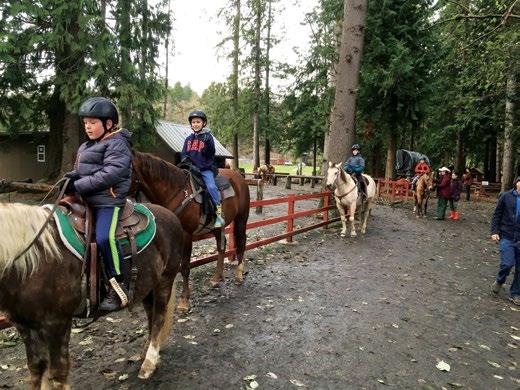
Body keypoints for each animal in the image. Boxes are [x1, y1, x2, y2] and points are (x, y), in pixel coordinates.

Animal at [0, 201, 183, 386]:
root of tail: (169, 214)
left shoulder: (57, 322)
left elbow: (58, 373)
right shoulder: (25, 325)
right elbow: (37, 369)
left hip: (165, 280)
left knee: (159, 317)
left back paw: (149, 363)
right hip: (148, 287)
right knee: (151, 316)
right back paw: (146, 353)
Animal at [131, 152, 251, 310]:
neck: (176, 192)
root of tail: (239, 177)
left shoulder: (186, 235)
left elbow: (185, 267)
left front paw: (184, 301)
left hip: (241, 219)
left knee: (241, 242)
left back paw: (238, 275)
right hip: (218, 227)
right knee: (221, 246)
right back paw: (217, 278)